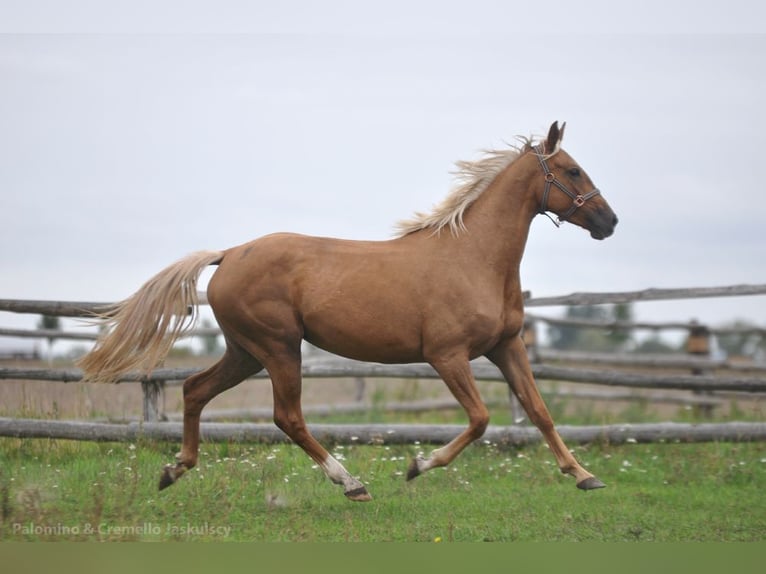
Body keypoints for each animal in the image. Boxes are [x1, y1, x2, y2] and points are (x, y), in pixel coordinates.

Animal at [77, 121, 618, 501]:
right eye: (572, 169)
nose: (610, 222)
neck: (474, 257)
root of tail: (229, 253)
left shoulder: (506, 346)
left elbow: (540, 411)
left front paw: (584, 476)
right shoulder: (447, 355)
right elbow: (482, 418)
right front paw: (417, 466)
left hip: (245, 352)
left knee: (194, 390)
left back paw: (174, 470)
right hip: (279, 347)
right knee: (287, 417)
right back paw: (352, 483)